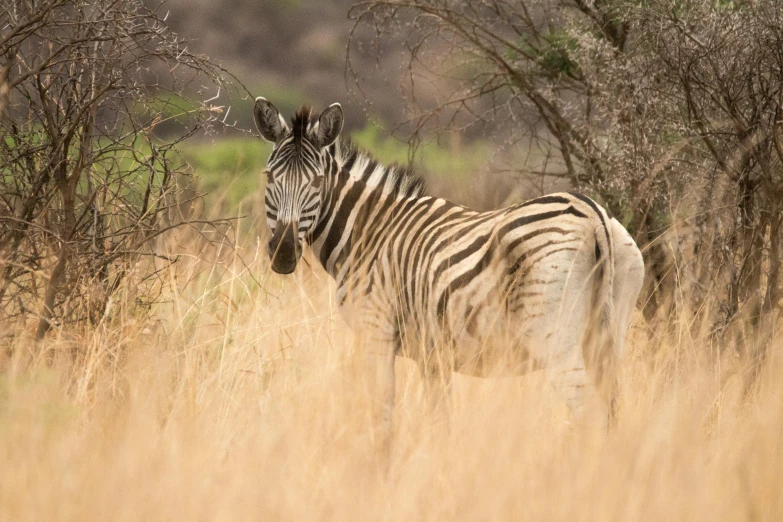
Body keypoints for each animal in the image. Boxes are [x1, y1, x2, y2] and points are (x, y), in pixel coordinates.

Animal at [254, 99, 648, 432]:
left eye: (317, 182)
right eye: (269, 177)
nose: (284, 253)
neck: (369, 231)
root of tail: (592, 215)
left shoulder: (376, 333)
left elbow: (383, 422)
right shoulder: (433, 355)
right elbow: (440, 422)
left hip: (554, 337)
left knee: (590, 413)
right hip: (610, 332)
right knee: (613, 409)